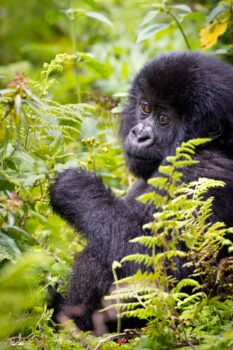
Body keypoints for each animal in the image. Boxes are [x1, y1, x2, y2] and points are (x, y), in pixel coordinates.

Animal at [50, 51, 233, 330]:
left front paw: (75, 188)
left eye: (164, 119)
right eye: (145, 108)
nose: (139, 134)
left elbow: (168, 269)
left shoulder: (207, 174)